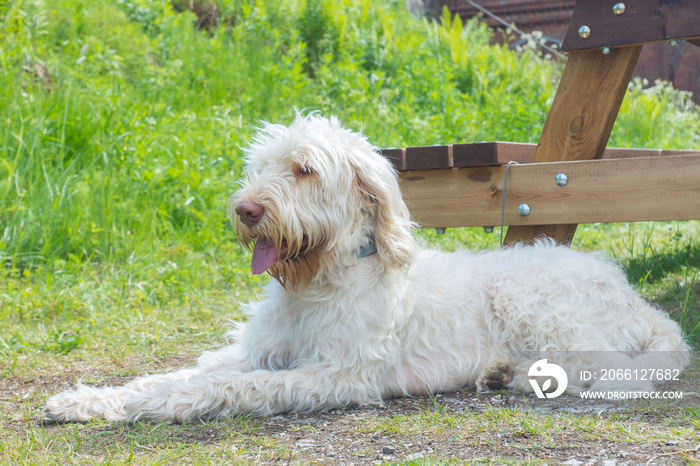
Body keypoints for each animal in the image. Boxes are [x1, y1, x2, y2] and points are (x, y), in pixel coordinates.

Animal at [45, 113, 688, 422]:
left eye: (304, 169)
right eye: (260, 165)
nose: (246, 210)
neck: (317, 281)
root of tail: (634, 298)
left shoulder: (338, 375)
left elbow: (231, 385)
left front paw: (147, 408)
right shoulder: (262, 350)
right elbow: (177, 373)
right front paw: (90, 400)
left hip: (532, 301)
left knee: (607, 369)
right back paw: (500, 371)